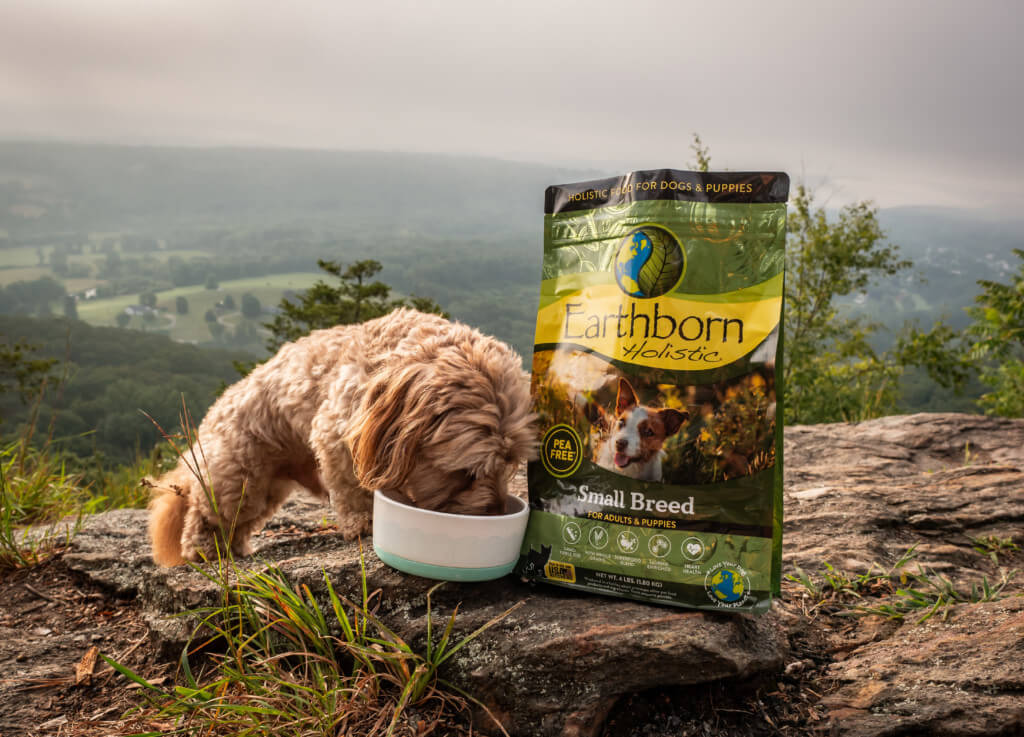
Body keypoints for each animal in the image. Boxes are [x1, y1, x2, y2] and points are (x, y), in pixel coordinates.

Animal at [149, 307, 544, 569]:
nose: (496, 511)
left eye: (509, 465)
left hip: (267, 487)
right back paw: (204, 547)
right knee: (205, 513)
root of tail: (216, 409)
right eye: (465, 473)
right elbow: (353, 488)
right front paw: (365, 522)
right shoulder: (337, 436)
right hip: (238, 478)